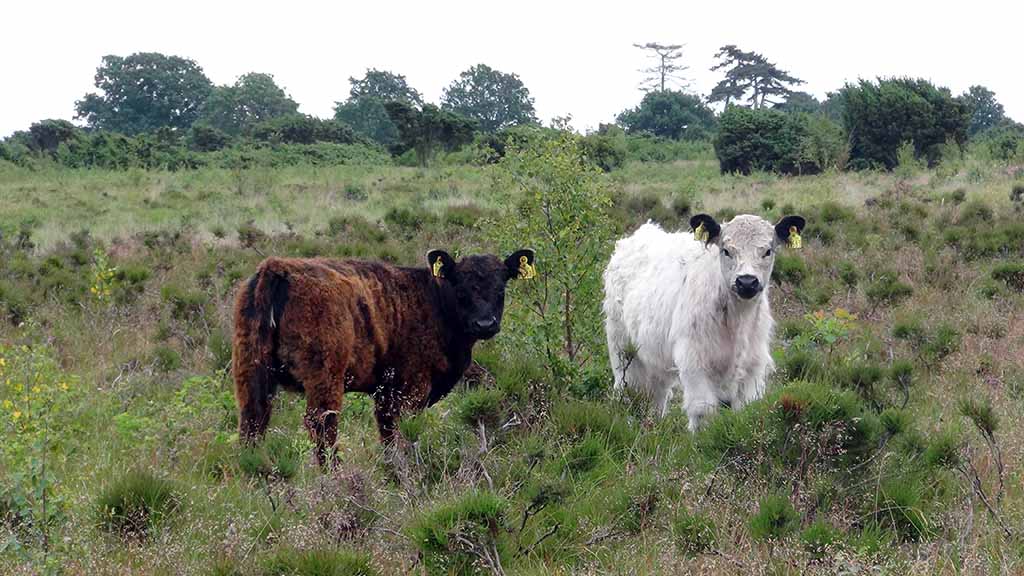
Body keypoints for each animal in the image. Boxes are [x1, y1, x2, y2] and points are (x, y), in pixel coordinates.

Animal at [232, 248, 536, 466]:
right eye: (461, 289)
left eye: (501, 288)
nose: (485, 324)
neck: (433, 298)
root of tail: (278, 268)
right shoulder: (410, 390)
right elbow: (402, 432)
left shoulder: (384, 394)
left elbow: (387, 434)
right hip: (325, 380)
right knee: (322, 425)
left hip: (252, 375)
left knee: (253, 423)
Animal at [602, 213, 806, 431]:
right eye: (726, 251)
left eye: (767, 251)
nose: (747, 282)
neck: (737, 320)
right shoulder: (694, 362)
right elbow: (702, 411)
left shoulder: (753, 366)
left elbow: (745, 410)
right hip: (621, 347)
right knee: (627, 389)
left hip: (655, 356)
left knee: (658, 394)